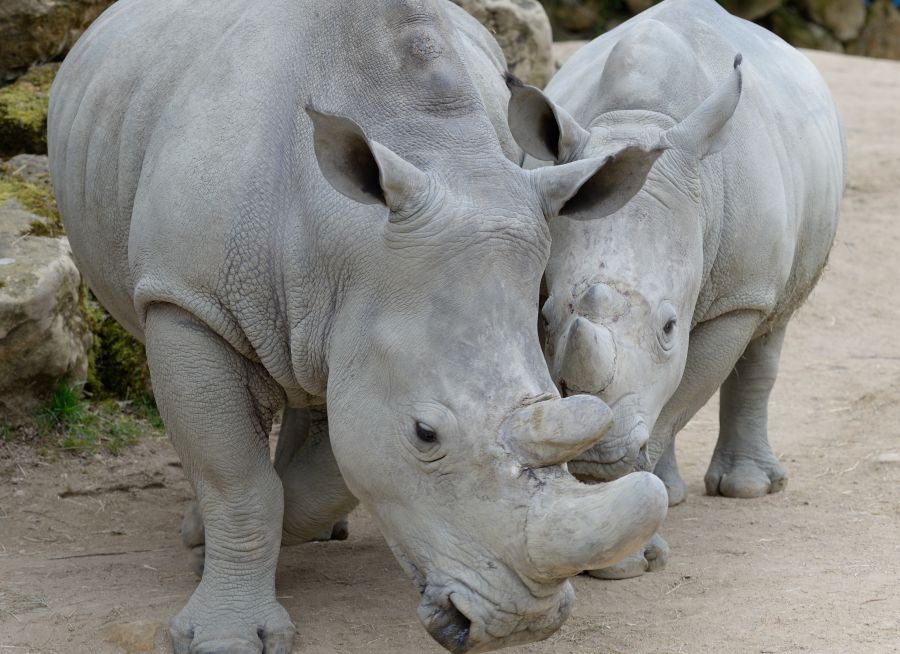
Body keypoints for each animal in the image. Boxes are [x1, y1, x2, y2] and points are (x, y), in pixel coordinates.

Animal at [47, 0, 668, 652]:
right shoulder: (187, 301)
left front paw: (214, 541)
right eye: (425, 434)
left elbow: (332, 466)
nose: (522, 625)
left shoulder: (359, 328)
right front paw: (223, 627)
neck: (347, 239)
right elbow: (237, 481)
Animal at [510, 0, 848, 580]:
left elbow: (677, 403)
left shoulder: (737, 299)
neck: (642, 121)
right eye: (549, 319)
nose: (600, 456)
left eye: (670, 327)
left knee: (771, 329)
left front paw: (626, 558)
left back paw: (746, 487)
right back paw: (672, 492)